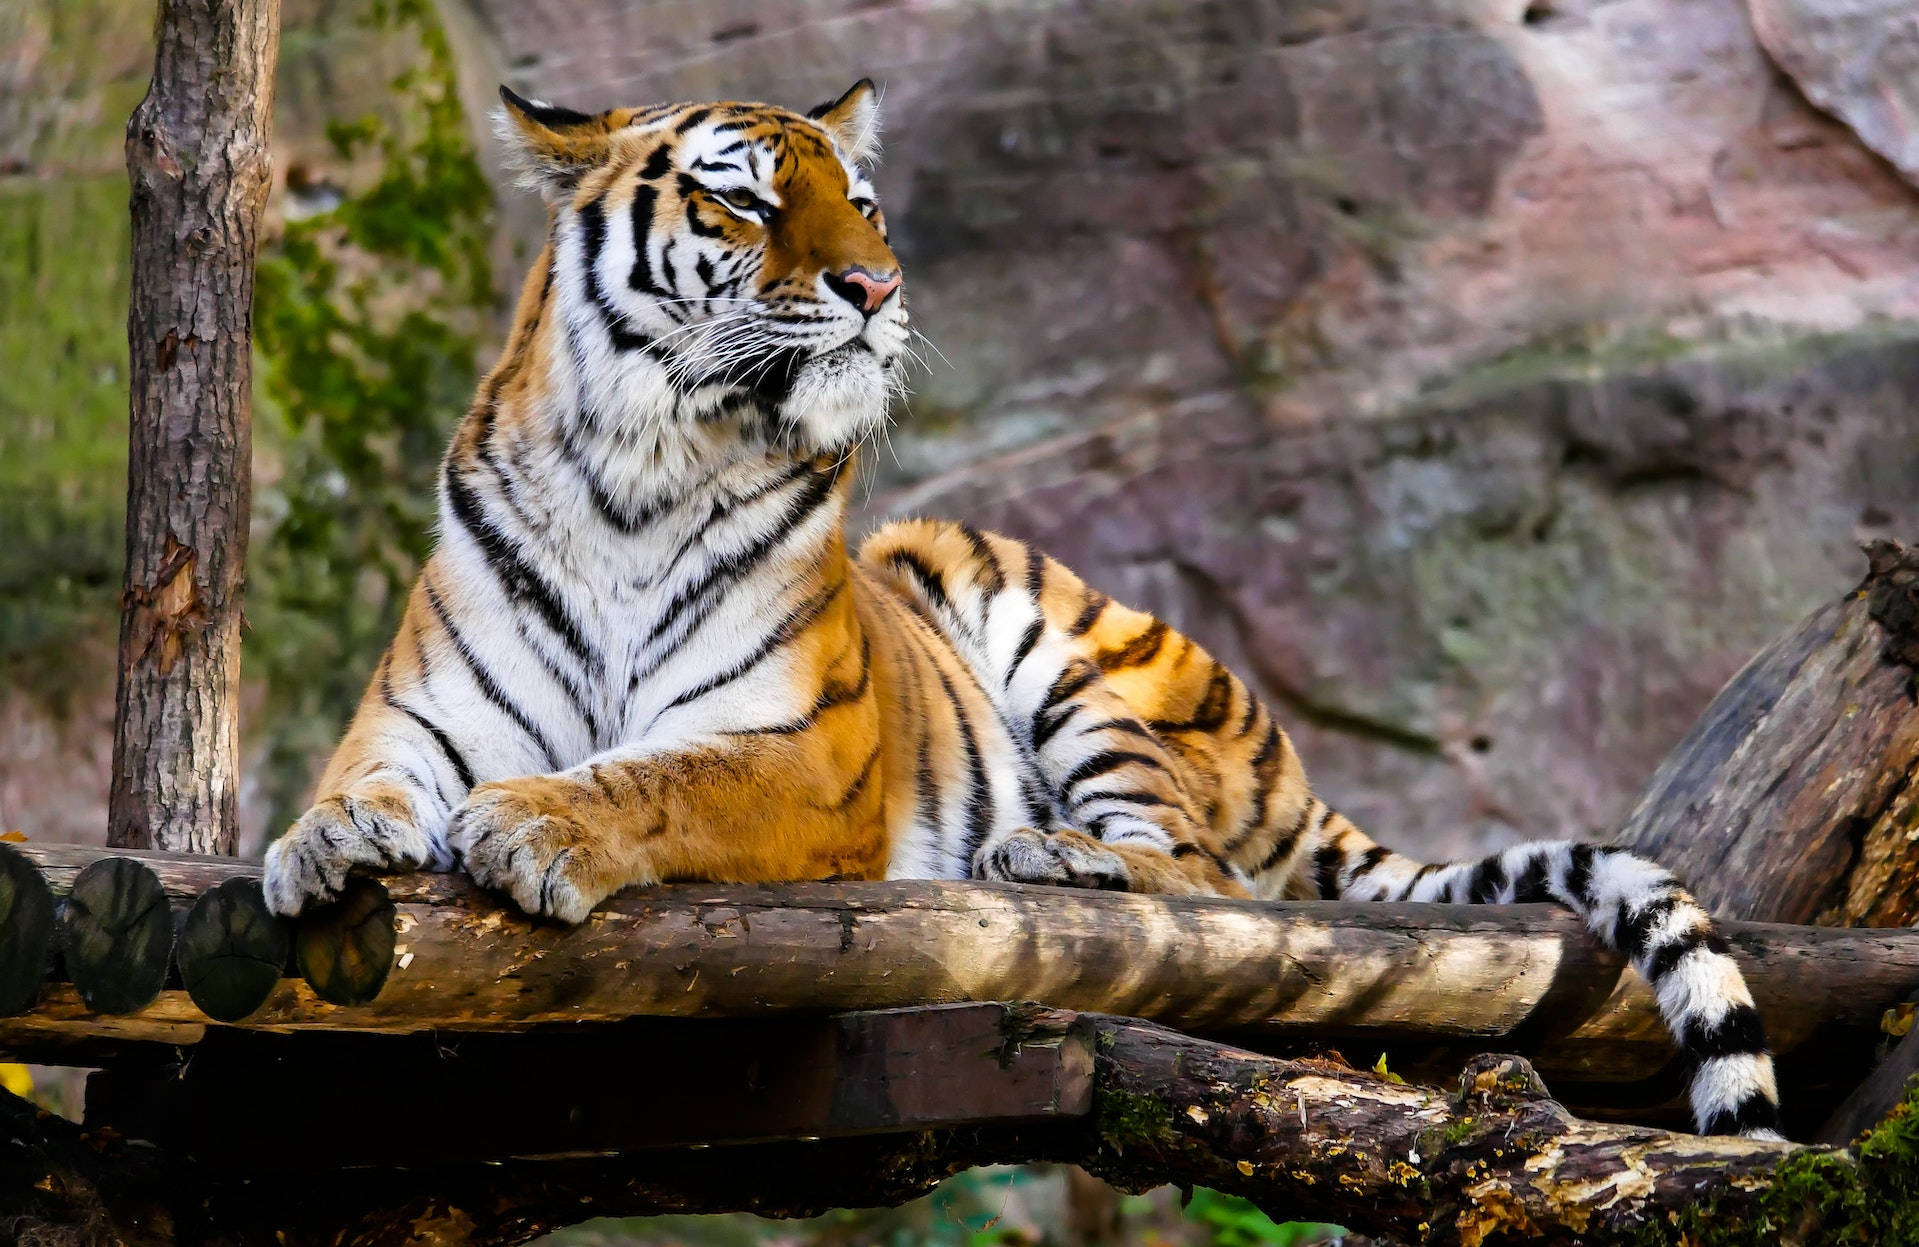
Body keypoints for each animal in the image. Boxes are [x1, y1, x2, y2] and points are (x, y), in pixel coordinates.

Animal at [259, 77, 1780, 1135]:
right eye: (745, 202)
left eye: (862, 205)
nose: (874, 285)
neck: (637, 470)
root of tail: (1292, 764)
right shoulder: (422, 713)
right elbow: (361, 779)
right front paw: (317, 844)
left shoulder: (803, 754)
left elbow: (655, 777)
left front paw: (534, 823)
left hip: (1048, 633)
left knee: (1208, 880)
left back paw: (1049, 855)